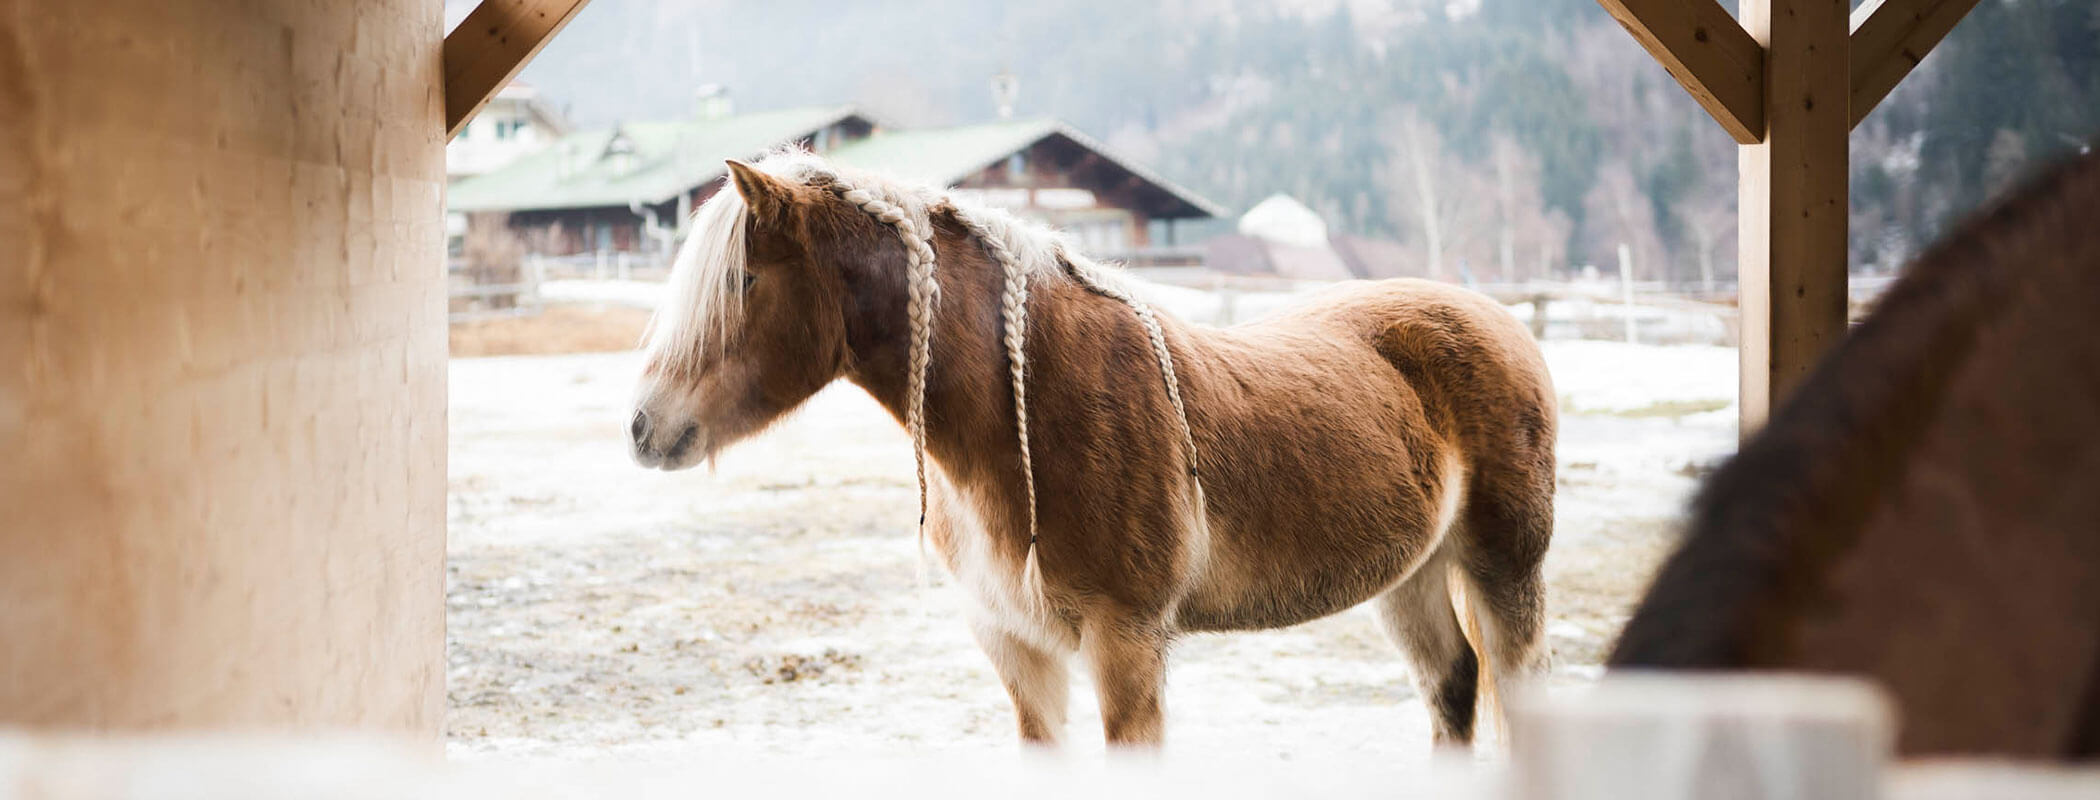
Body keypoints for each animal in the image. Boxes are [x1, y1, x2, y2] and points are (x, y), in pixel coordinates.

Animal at [628, 150, 1557, 748]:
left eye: (743, 281)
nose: (642, 427)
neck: (1031, 414)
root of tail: (1501, 319)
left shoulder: (1127, 644)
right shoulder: (1018, 652)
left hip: (1504, 571)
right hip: (1411, 577)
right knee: (1452, 689)